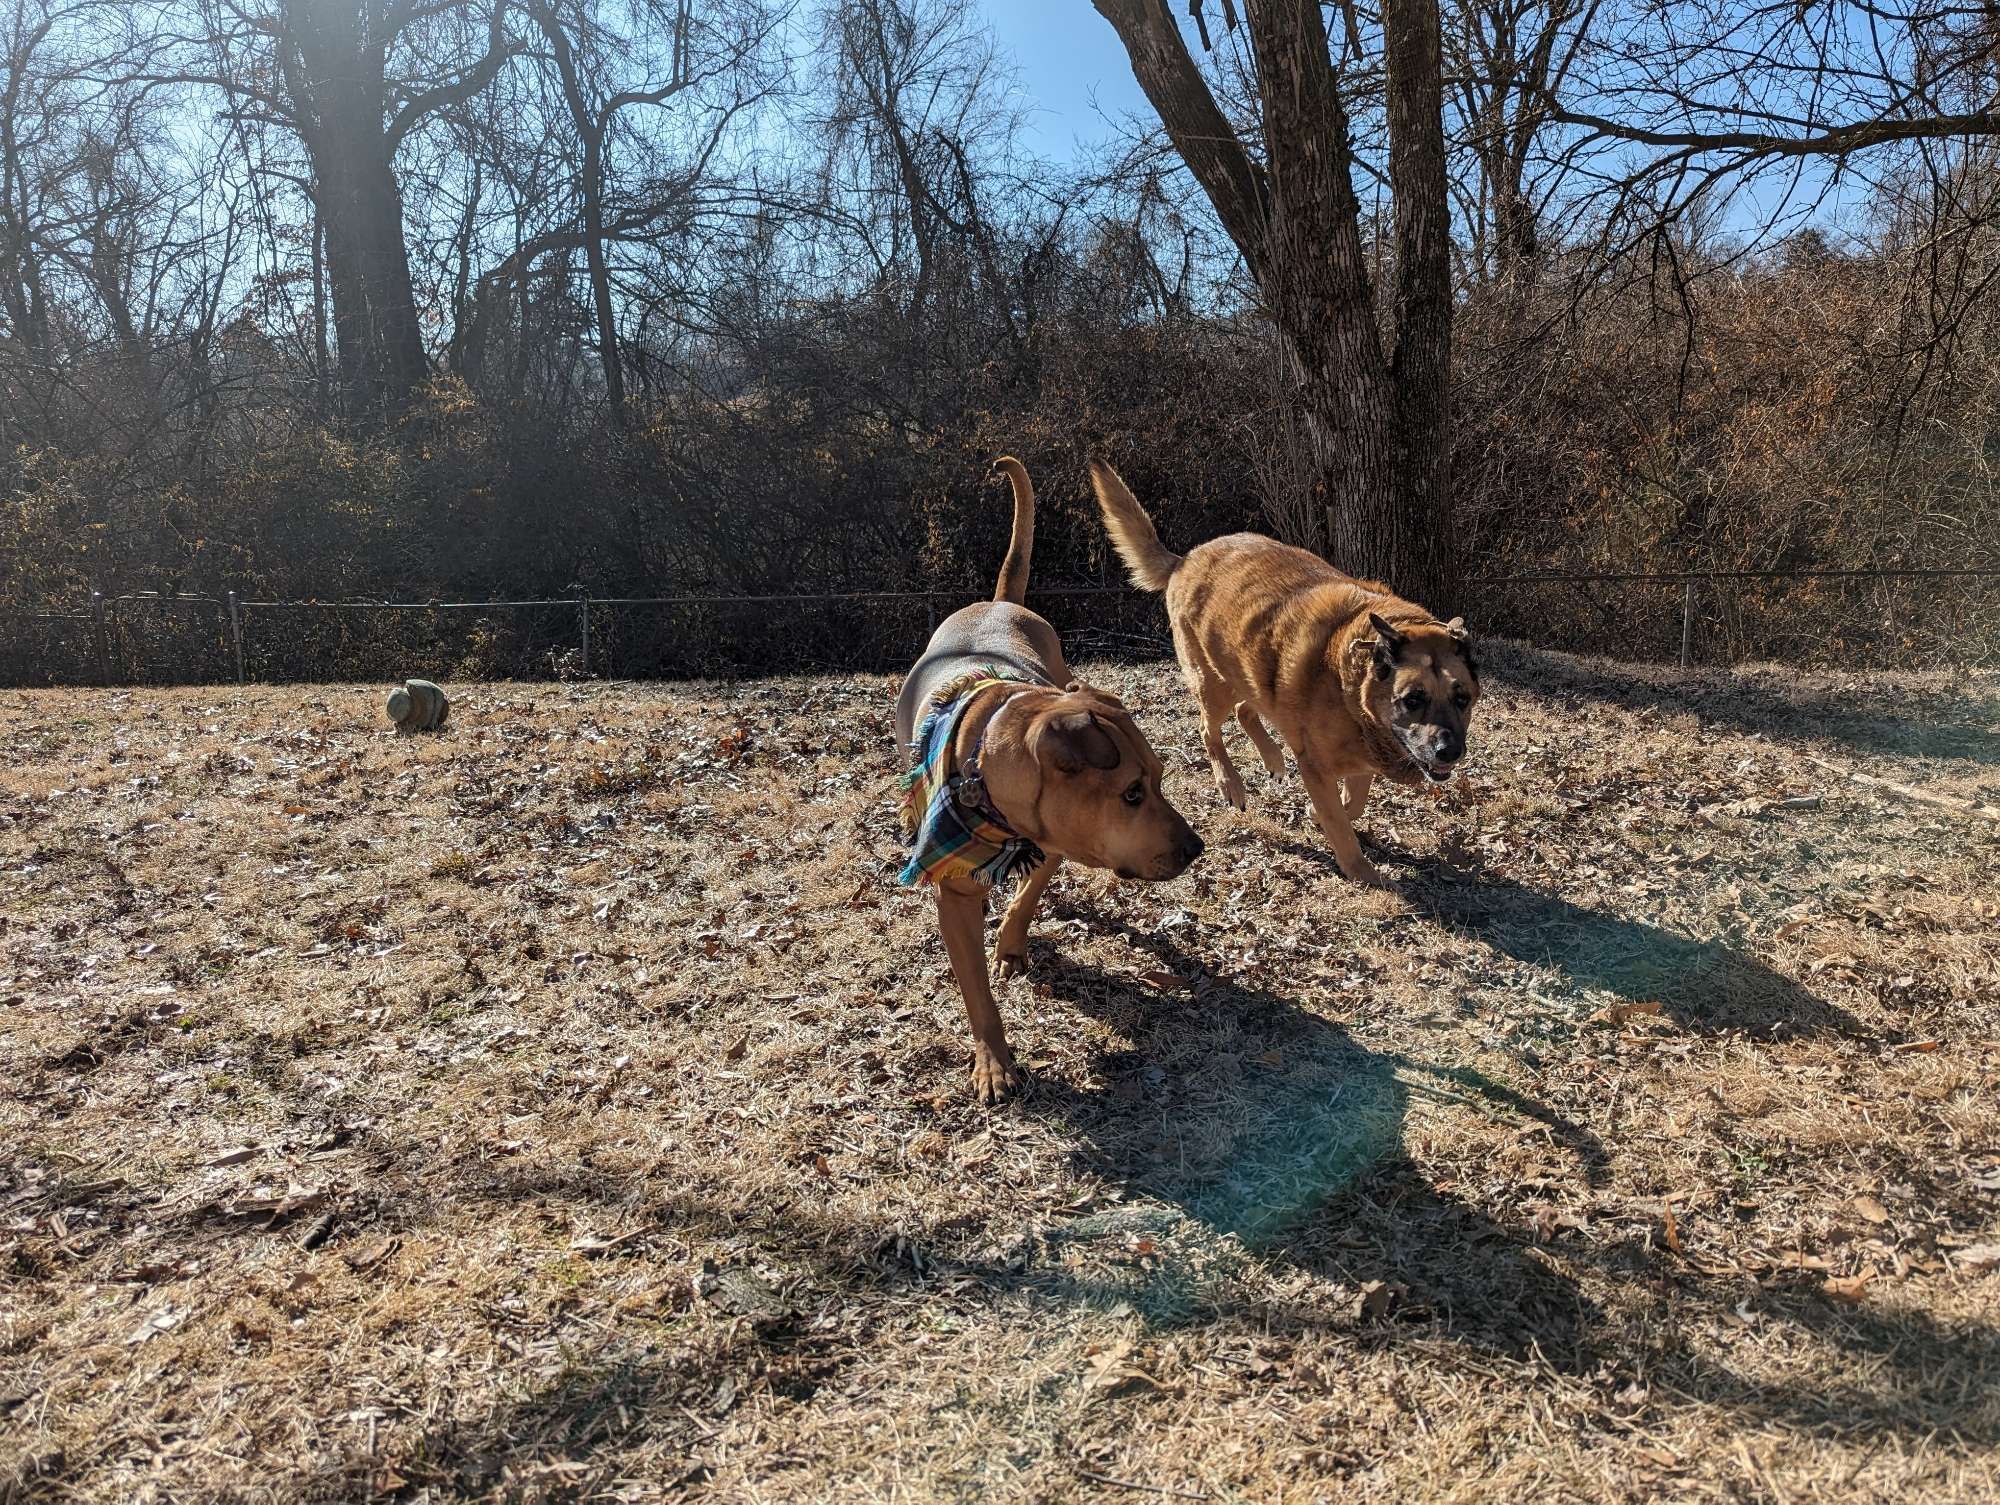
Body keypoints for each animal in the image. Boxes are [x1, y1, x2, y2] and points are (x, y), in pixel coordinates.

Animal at [904, 452, 1200, 1096]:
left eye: (1161, 778)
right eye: (1132, 793)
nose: (1195, 848)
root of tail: (997, 602)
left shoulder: (1061, 837)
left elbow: (1029, 894)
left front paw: (1012, 944)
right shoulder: (955, 885)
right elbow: (976, 991)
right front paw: (994, 1060)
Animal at [1088, 458, 1480, 880]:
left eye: (1462, 699)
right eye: (1412, 700)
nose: (1449, 752)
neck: (1349, 682)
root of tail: (1184, 560)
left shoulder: (1361, 762)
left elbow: (1352, 803)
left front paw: (1319, 813)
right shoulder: (1317, 767)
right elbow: (1340, 822)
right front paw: (1360, 870)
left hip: (1248, 674)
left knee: (1246, 712)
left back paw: (1273, 759)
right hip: (1213, 683)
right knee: (1209, 730)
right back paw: (1231, 783)